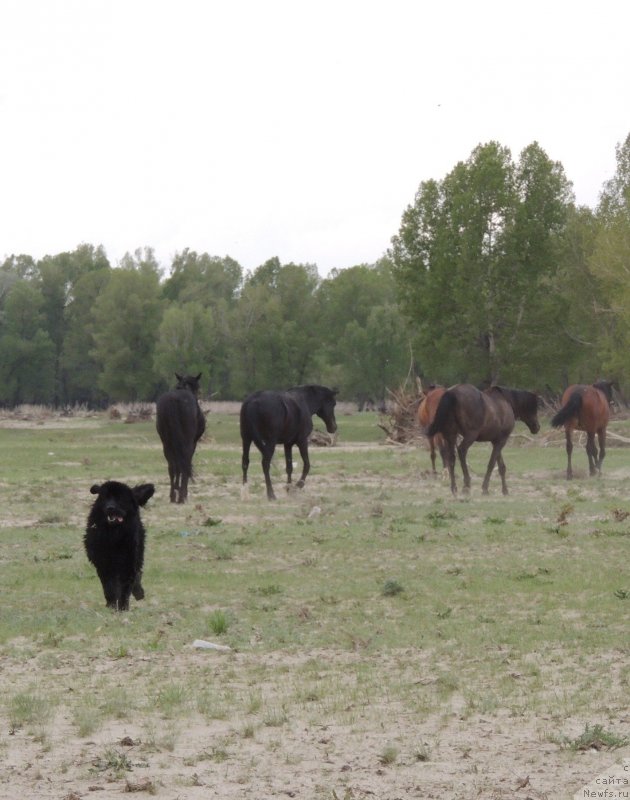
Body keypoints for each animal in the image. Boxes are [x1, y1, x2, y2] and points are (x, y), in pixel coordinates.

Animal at [84, 482, 155, 612]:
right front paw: (112, 604)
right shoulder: (103, 564)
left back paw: (139, 593)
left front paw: (122, 607)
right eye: (105, 497)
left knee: (137, 575)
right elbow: (109, 587)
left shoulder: (128, 562)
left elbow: (125, 587)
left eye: (120, 499)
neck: (113, 535)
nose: (110, 508)